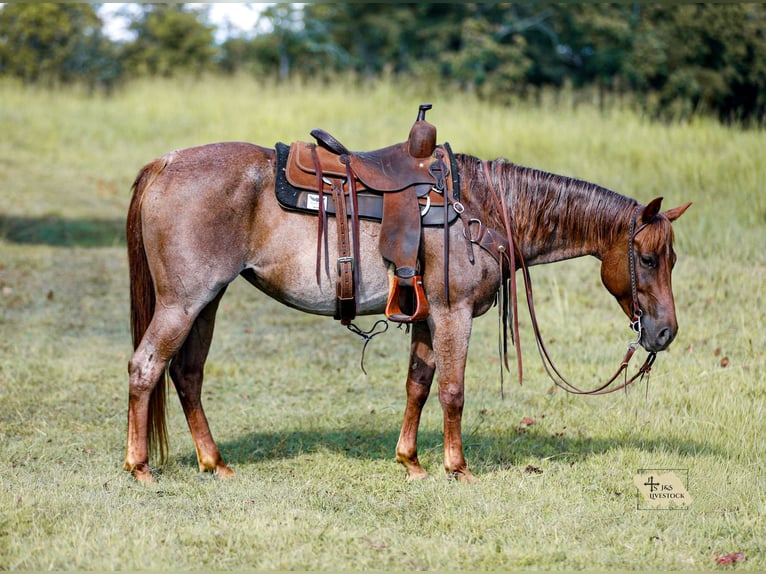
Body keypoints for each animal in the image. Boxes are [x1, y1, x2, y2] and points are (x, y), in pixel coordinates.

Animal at [124, 140, 691, 483]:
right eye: (647, 258)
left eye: (672, 258)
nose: (664, 333)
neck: (481, 208)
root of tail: (165, 164)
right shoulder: (452, 312)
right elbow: (453, 391)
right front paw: (457, 468)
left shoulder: (424, 316)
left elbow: (418, 385)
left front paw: (411, 461)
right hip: (182, 303)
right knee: (145, 368)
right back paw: (140, 466)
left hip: (207, 302)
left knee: (187, 374)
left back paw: (214, 462)